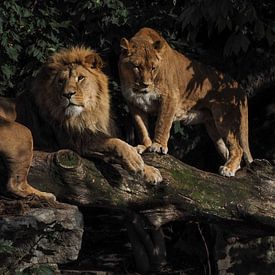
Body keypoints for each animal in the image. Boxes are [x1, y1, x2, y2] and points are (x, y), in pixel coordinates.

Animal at [0, 45, 163, 201]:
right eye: (61, 81)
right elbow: (115, 142)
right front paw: (135, 161)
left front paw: (149, 170)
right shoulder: (78, 141)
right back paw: (45, 196)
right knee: (14, 185)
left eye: (80, 78)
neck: (86, 114)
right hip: (23, 131)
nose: (68, 94)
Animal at [118, 27, 254, 177]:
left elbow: (162, 123)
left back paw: (228, 169)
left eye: (153, 68)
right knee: (228, 150)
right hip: (213, 127)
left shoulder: (170, 97)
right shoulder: (134, 103)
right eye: (136, 67)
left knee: (238, 148)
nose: (146, 85)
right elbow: (142, 127)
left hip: (224, 119)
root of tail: (239, 88)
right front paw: (145, 146)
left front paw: (158, 146)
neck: (136, 88)